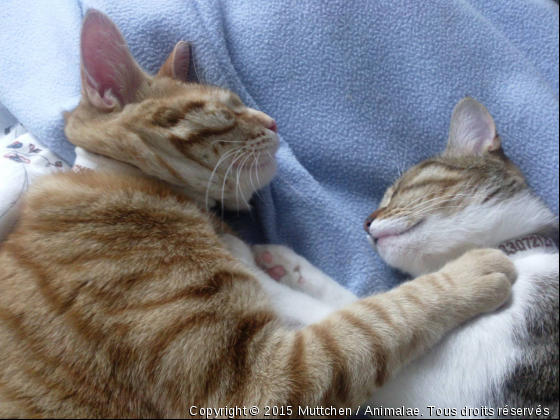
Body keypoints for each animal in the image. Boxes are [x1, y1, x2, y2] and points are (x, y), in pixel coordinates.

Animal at [255, 97, 560, 416]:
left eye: (401, 189)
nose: (365, 222)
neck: (516, 255)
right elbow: (364, 303)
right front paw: (286, 266)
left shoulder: (429, 386)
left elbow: (347, 324)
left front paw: (251, 270)